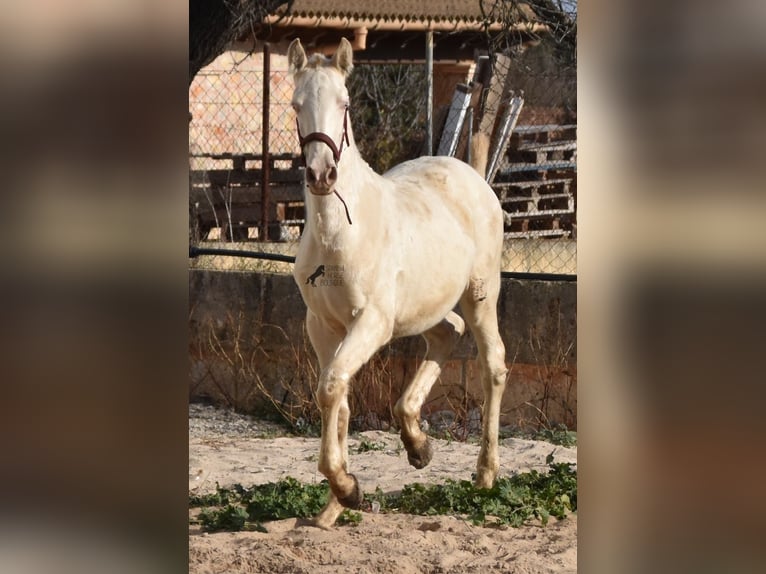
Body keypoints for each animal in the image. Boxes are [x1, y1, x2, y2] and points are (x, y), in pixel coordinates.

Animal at [288, 37, 510, 532]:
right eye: (295, 106)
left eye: (345, 103)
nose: (321, 175)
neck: (340, 233)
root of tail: (471, 175)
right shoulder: (321, 327)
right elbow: (338, 400)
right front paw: (337, 503)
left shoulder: (371, 322)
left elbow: (331, 388)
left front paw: (347, 487)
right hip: (424, 308)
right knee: (448, 333)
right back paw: (417, 444)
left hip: (480, 295)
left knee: (493, 363)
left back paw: (485, 474)